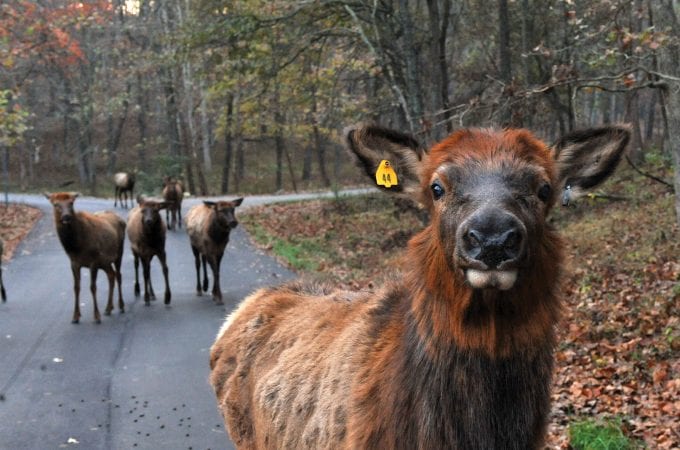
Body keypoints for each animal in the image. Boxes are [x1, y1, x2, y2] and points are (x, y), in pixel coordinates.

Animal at [45, 191, 126, 324]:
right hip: (105, 262)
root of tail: (121, 219)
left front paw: (97, 316)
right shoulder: (74, 263)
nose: (66, 217)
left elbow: (93, 287)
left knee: (118, 275)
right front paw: (75, 316)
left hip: (119, 252)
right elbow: (76, 287)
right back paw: (108, 308)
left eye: (71, 202)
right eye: (56, 204)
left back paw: (121, 305)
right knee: (111, 275)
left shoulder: (93, 261)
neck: (77, 246)